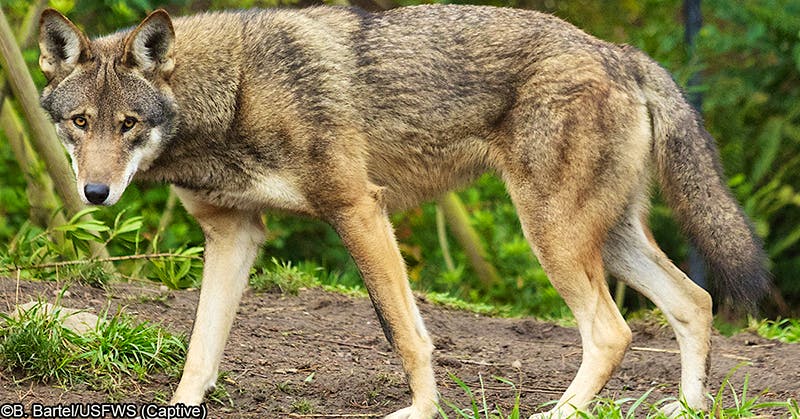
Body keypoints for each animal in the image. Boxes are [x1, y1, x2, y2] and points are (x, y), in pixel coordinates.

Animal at [38, 4, 768, 418]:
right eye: (81, 123)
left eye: (129, 124)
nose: (95, 194)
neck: (234, 91)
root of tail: (620, 52)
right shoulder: (233, 235)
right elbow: (200, 350)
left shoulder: (359, 208)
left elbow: (405, 333)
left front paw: (421, 410)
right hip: (604, 238)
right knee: (695, 300)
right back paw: (687, 409)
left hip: (554, 235)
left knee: (614, 331)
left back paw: (564, 412)